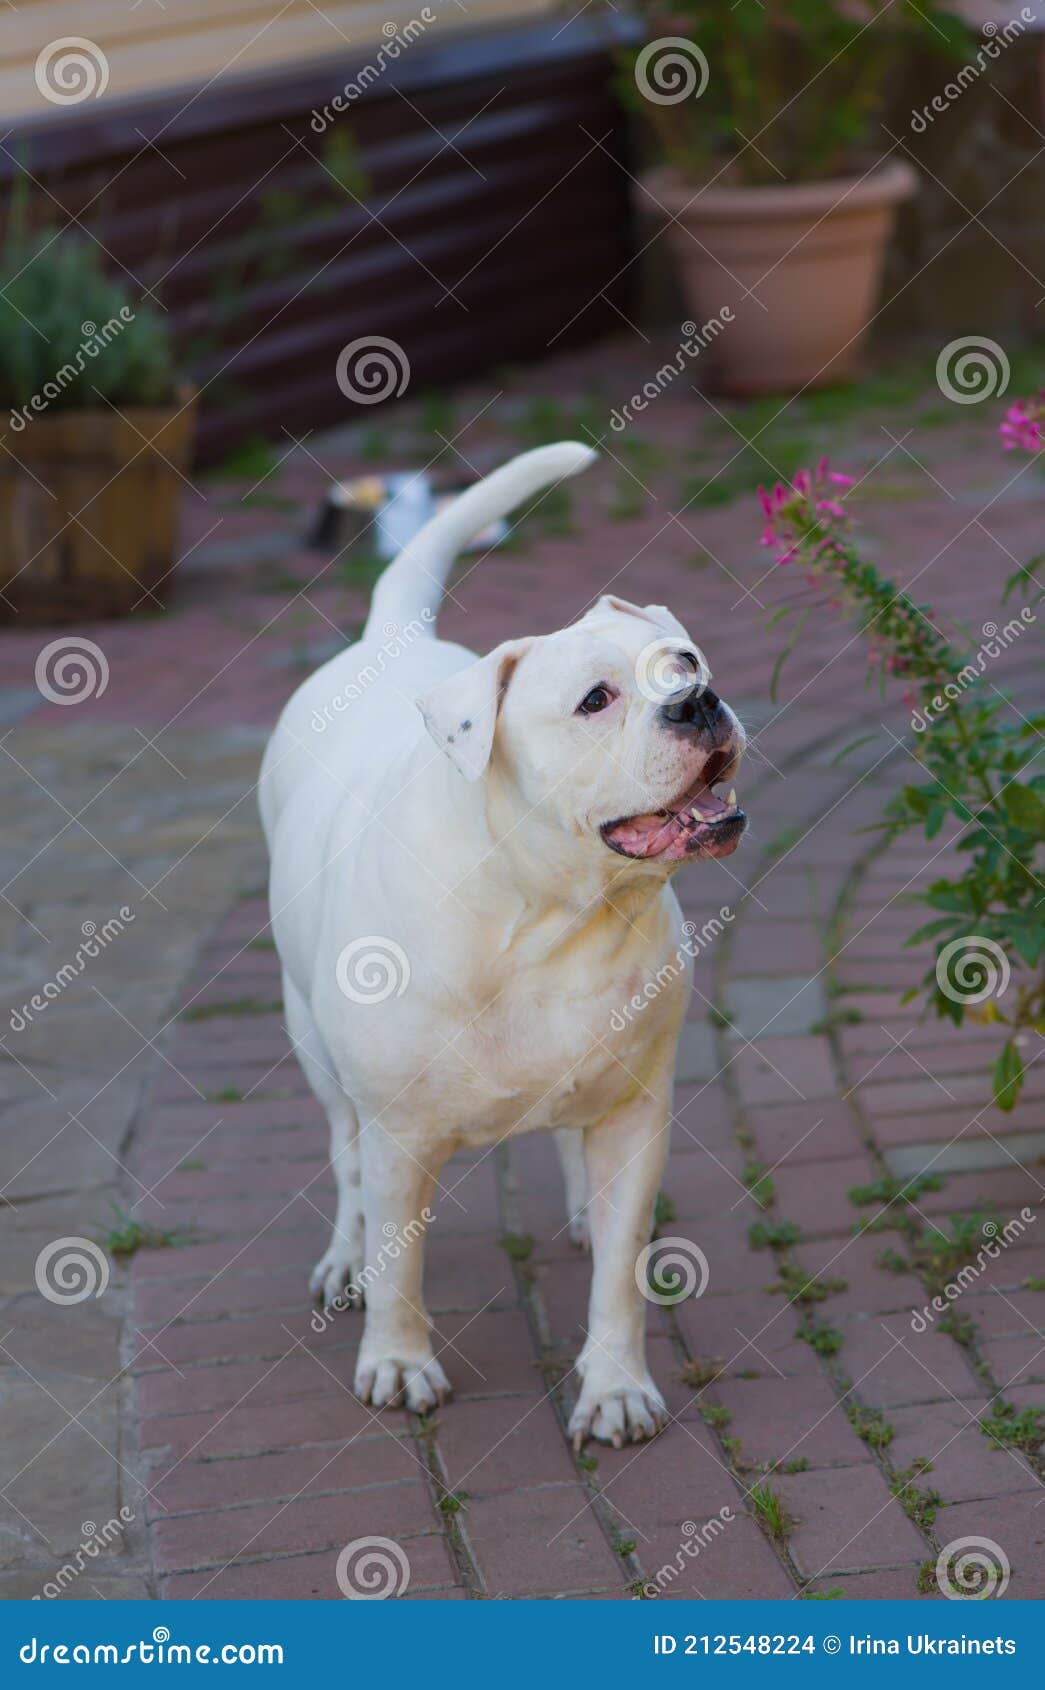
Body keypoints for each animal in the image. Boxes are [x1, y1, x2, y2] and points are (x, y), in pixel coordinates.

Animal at [260, 442, 747, 1446]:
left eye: (683, 660)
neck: (550, 912)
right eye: (596, 700)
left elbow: (617, 1280)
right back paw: (345, 1256)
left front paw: (615, 1386)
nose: (698, 700)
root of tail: (391, 636)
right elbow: (397, 1264)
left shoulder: (636, 1111)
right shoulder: (400, 1134)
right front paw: (397, 1362)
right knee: (344, 1161)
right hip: (314, 1044)